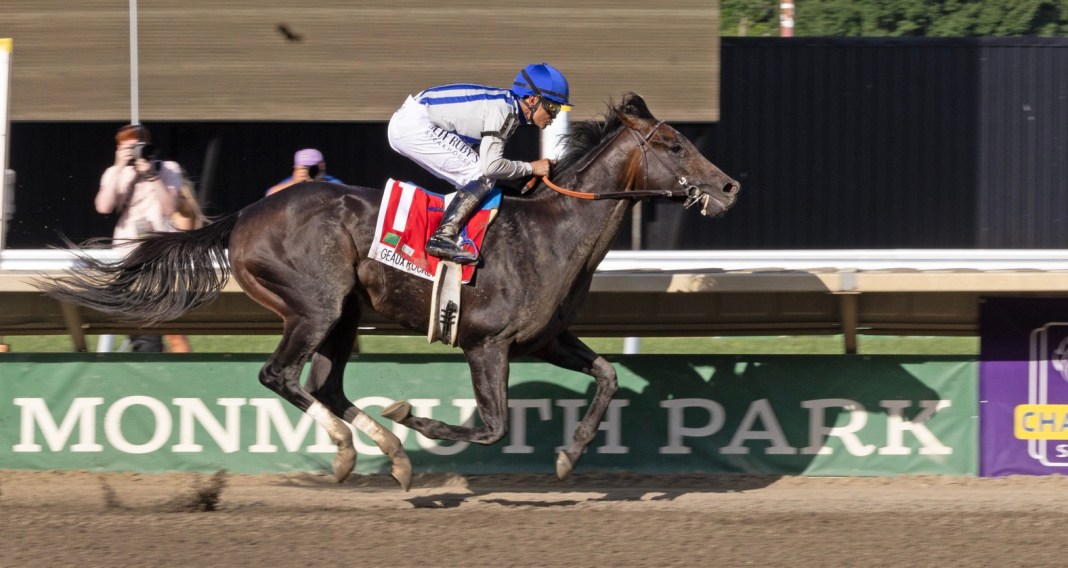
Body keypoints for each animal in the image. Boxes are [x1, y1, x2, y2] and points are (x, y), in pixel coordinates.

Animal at [43, 93, 743, 488]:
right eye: (674, 142)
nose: (729, 186)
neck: (554, 229)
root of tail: (243, 216)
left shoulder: (545, 339)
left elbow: (607, 376)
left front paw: (571, 457)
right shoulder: (487, 344)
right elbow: (491, 426)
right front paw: (412, 416)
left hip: (344, 317)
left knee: (323, 384)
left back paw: (389, 455)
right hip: (316, 306)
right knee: (279, 375)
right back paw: (354, 449)